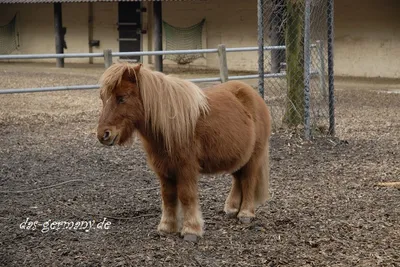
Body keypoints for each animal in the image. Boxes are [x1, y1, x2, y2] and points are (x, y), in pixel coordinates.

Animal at [97, 63, 272, 243]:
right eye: (103, 98)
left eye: (122, 98)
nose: (103, 135)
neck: (170, 125)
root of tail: (254, 96)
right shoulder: (164, 170)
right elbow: (168, 197)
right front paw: (167, 227)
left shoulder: (186, 168)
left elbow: (186, 196)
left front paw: (191, 230)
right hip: (238, 156)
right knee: (238, 179)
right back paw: (232, 208)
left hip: (253, 157)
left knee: (248, 180)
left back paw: (245, 213)